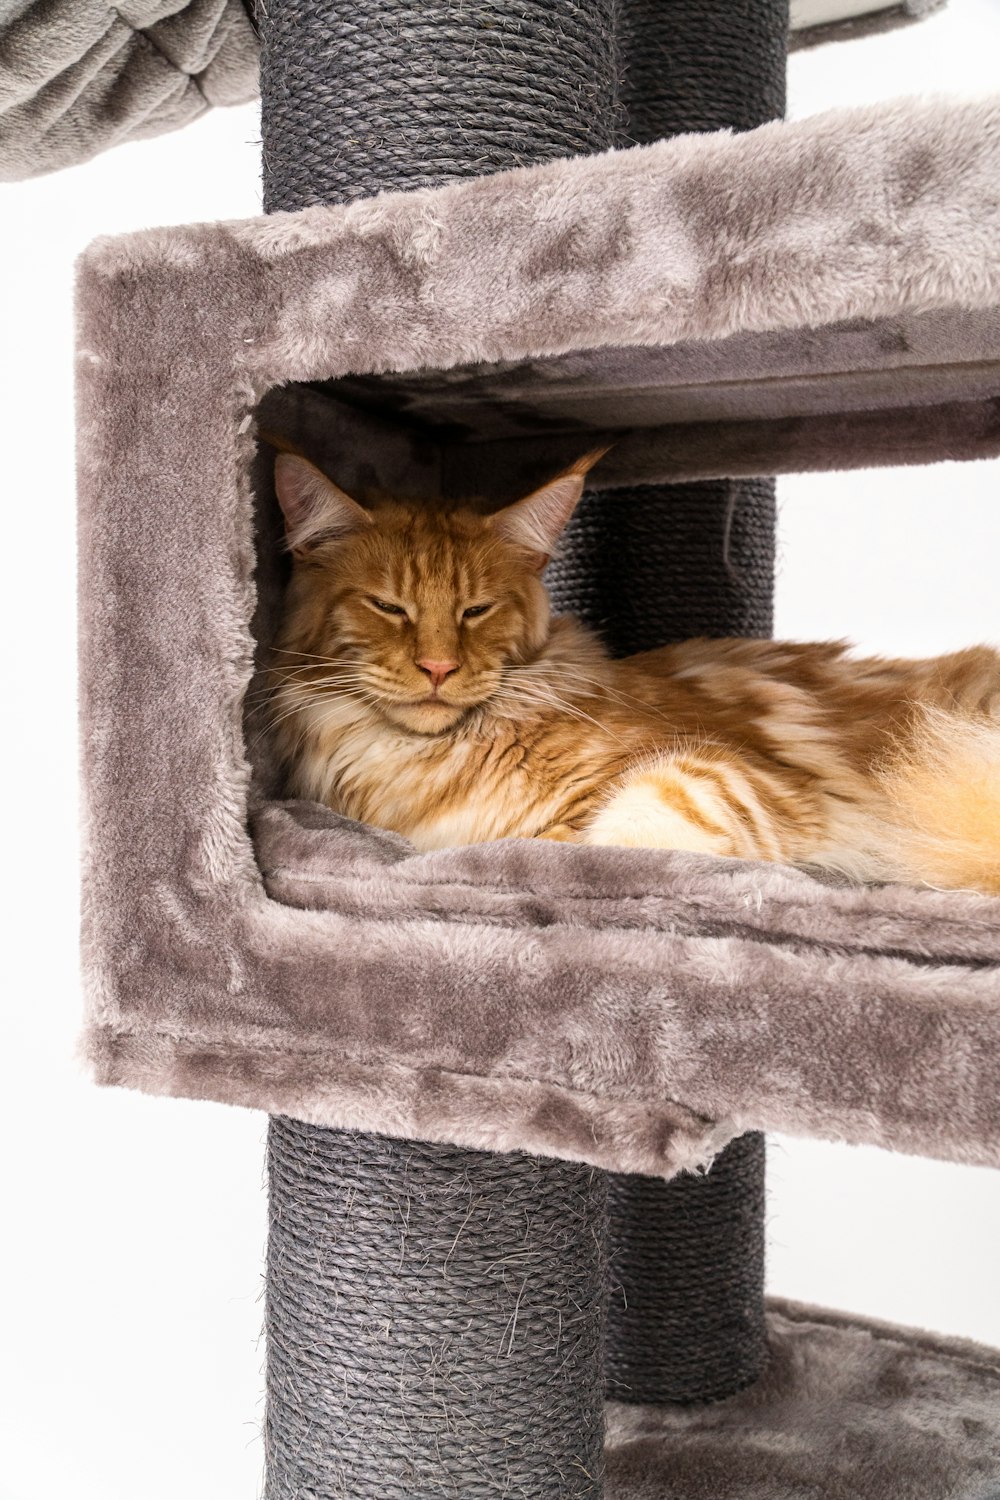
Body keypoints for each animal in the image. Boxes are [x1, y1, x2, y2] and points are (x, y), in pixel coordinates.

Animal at [263, 441, 1000, 888]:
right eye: (389, 607)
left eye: (476, 610)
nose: (439, 668)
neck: (418, 762)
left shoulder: (731, 775)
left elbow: (606, 834)